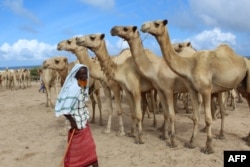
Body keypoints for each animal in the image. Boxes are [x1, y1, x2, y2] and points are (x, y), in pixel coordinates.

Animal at [140, 18, 250, 153]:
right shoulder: (192, 90)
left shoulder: (206, 90)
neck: (190, 64)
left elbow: (208, 119)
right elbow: (195, 117)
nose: (143, 26)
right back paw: (234, 136)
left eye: (157, 23)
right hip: (239, 87)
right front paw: (191, 142)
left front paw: (208, 147)